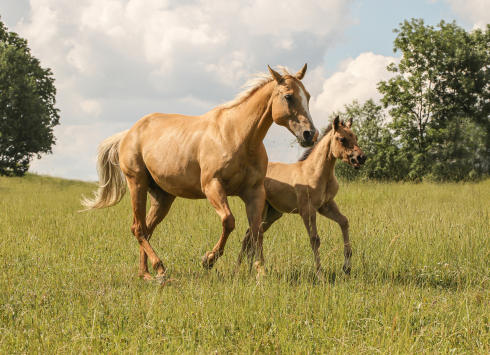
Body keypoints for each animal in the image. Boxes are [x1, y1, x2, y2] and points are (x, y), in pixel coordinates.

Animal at [82, 65, 320, 284]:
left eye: (307, 96)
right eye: (288, 96)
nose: (310, 134)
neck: (237, 135)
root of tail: (128, 133)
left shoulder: (255, 192)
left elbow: (256, 230)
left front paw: (261, 270)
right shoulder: (212, 186)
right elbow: (229, 221)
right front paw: (208, 260)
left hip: (162, 197)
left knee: (146, 229)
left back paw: (147, 274)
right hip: (137, 184)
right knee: (138, 228)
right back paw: (159, 268)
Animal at [235, 117, 366, 276]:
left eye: (356, 137)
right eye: (342, 139)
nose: (361, 158)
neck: (315, 172)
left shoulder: (326, 206)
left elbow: (344, 222)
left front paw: (346, 266)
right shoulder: (307, 210)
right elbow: (315, 239)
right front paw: (319, 273)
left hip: (272, 214)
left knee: (250, 235)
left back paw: (247, 270)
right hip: (262, 210)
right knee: (250, 236)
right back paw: (239, 270)